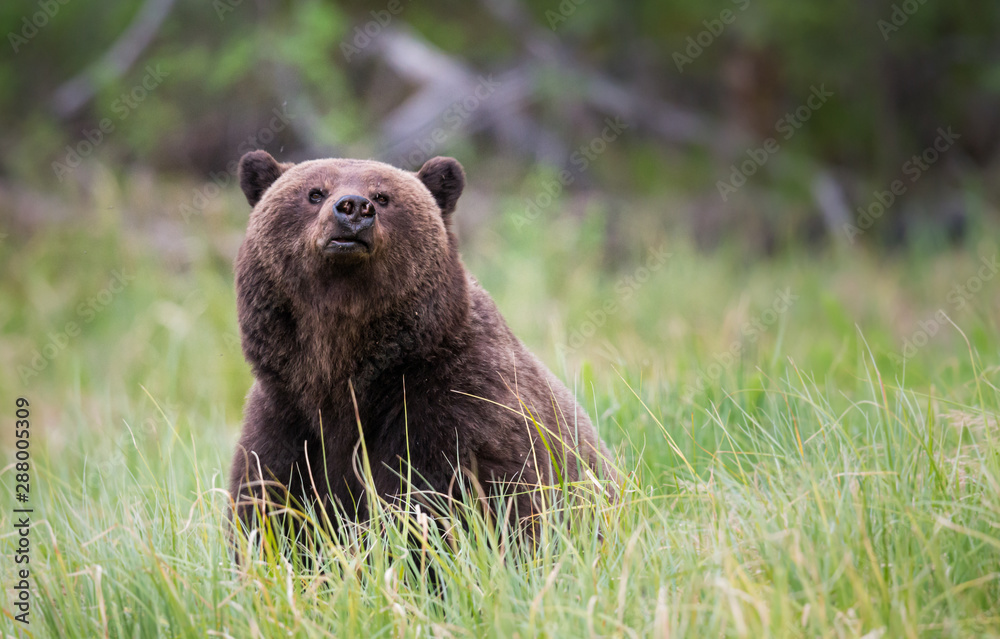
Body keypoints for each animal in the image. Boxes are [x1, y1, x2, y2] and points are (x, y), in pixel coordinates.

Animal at [228, 150, 613, 553]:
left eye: (383, 196)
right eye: (314, 192)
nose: (353, 208)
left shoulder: (452, 406)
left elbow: (443, 507)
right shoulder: (286, 415)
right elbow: (267, 507)